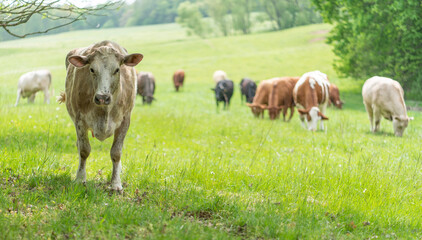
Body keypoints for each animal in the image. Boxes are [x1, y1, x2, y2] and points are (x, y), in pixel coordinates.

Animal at [57, 40, 144, 191]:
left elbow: (116, 152)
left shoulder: (125, 120)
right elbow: (84, 150)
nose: (102, 97)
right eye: (92, 69)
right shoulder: (80, 120)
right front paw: (80, 179)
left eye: (117, 69)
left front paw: (116, 184)